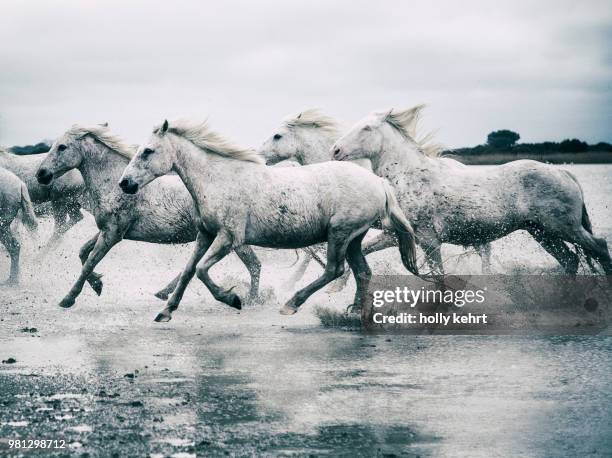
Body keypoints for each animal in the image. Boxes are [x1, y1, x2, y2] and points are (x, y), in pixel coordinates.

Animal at [35, 124, 260, 308]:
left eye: (62, 147)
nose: (41, 174)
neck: (116, 186)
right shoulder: (108, 231)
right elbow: (83, 253)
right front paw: (98, 284)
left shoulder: (113, 234)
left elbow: (90, 262)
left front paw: (68, 299)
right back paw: (164, 293)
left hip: (232, 239)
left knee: (254, 265)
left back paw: (251, 300)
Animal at [119, 120, 416, 324]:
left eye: (148, 151)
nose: (125, 183)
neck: (219, 179)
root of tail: (379, 182)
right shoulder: (205, 234)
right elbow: (188, 271)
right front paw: (166, 311)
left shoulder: (228, 238)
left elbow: (202, 270)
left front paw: (233, 299)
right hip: (354, 238)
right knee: (362, 272)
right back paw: (356, 312)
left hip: (340, 234)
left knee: (334, 270)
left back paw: (291, 304)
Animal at [334, 105, 612, 274]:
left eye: (366, 128)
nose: (335, 150)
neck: (407, 176)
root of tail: (564, 173)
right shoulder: (395, 236)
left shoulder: (429, 239)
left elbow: (439, 277)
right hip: (542, 232)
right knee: (571, 260)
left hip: (563, 228)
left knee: (598, 247)